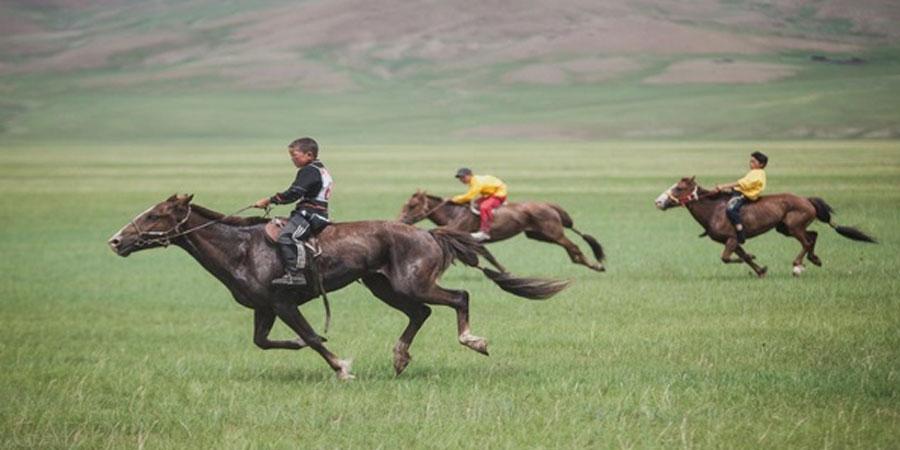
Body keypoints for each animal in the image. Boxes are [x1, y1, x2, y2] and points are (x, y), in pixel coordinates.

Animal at [109, 195, 568, 378]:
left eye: (154, 215)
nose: (116, 240)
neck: (241, 248)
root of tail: (427, 233)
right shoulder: (264, 308)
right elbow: (265, 342)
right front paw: (299, 347)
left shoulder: (284, 303)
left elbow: (313, 337)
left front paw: (343, 367)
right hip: (384, 287)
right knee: (421, 314)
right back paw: (400, 359)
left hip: (412, 283)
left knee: (458, 297)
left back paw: (473, 341)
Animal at [400, 190, 604, 270]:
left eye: (412, 205)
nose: (401, 220)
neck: (453, 214)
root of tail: (549, 205)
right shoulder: (469, 241)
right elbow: (486, 255)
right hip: (539, 235)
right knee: (571, 251)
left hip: (553, 233)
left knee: (574, 247)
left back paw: (597, 265)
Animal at [652, 177, 880, 276]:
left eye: (679, 188)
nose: (658, 202)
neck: (714, 209)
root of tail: (806, 200)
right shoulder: (733, 241)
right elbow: (741, 257)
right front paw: (761, 269)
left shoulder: (731, 239)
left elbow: (727, 258)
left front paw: (754, 259)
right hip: (784, 228)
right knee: (813, 235)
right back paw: (814, 260)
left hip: (793, 227)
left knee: (806, 241)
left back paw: (798, 265)